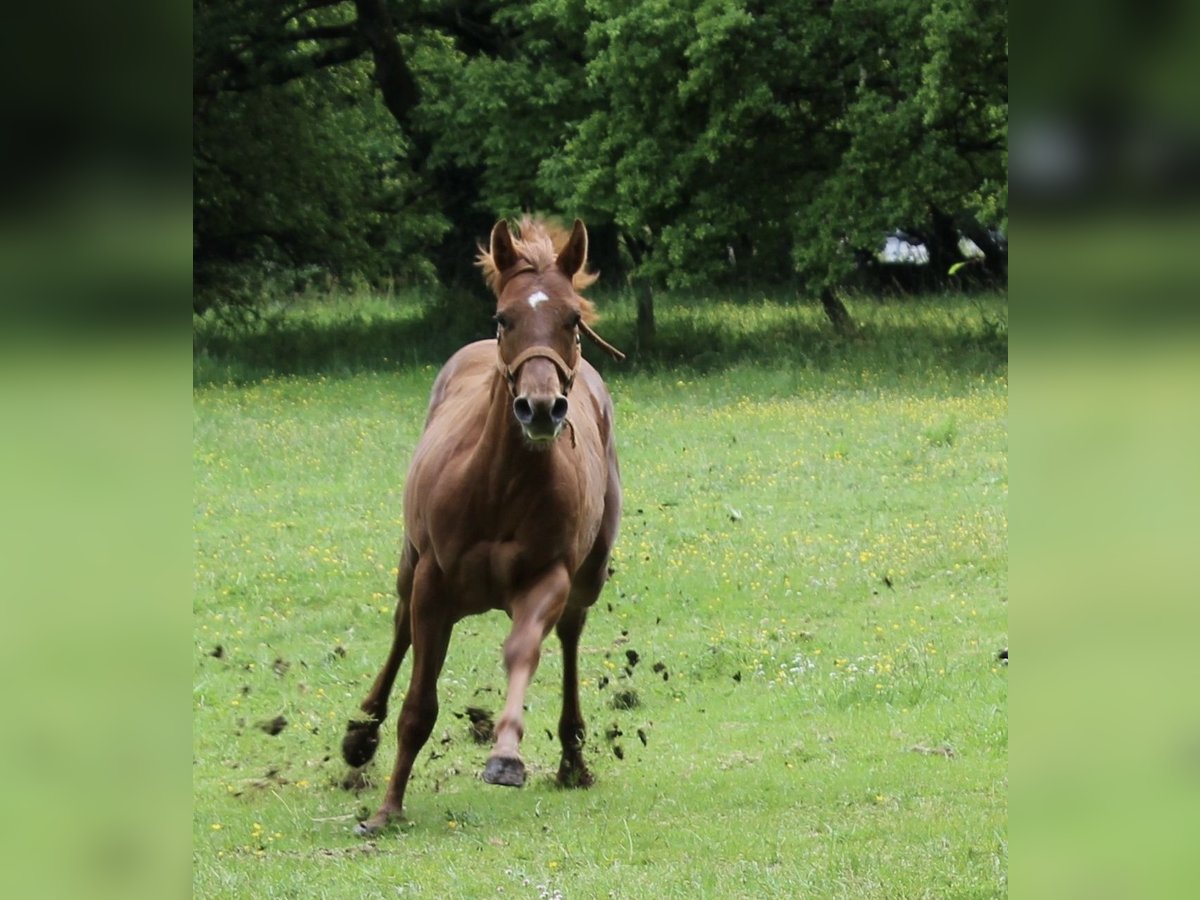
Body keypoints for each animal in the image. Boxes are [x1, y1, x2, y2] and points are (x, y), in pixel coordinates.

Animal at [343, 214, 624, 835]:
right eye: (504, 318)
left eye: (572, 319)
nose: (540, 409)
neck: (500, 485)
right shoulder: (432, 583)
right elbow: (419, 704)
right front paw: (387, 808)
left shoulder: (549, 578)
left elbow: (522, 650)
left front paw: (506, 755)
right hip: (409, 563)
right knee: (399, 627)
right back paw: (360, 736)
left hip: (588, 577)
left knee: (570, 634)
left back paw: (572, 757)